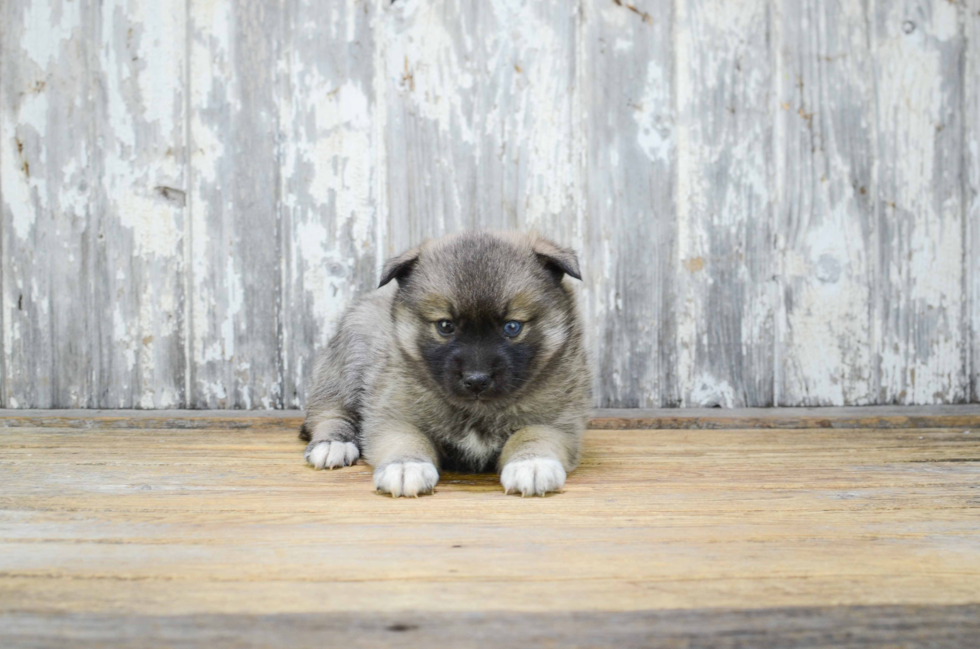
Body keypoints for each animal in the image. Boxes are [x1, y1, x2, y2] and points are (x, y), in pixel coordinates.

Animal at [298, 232, 588, 496]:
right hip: (347, 364)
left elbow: (533, 435)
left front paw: (533, 463)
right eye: (445, 326)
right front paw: (406, 466)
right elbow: (406, 438)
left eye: (512, 327)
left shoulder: (555, 419)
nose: (476, 380)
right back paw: (332, 444)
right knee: (329, 412)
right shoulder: (394, 413)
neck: (478, 410)